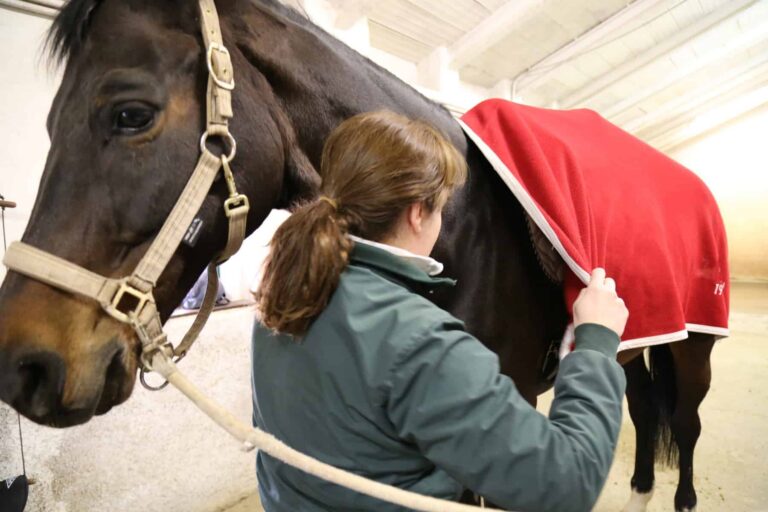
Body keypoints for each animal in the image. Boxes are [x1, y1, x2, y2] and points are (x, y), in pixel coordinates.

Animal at [0, 1, 717, 511]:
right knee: (644, 404)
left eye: (130, 114)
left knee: (684, 421)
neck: (465, 227)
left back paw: (682, 496)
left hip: (694, 344)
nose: (23, 363)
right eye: (48, 125)